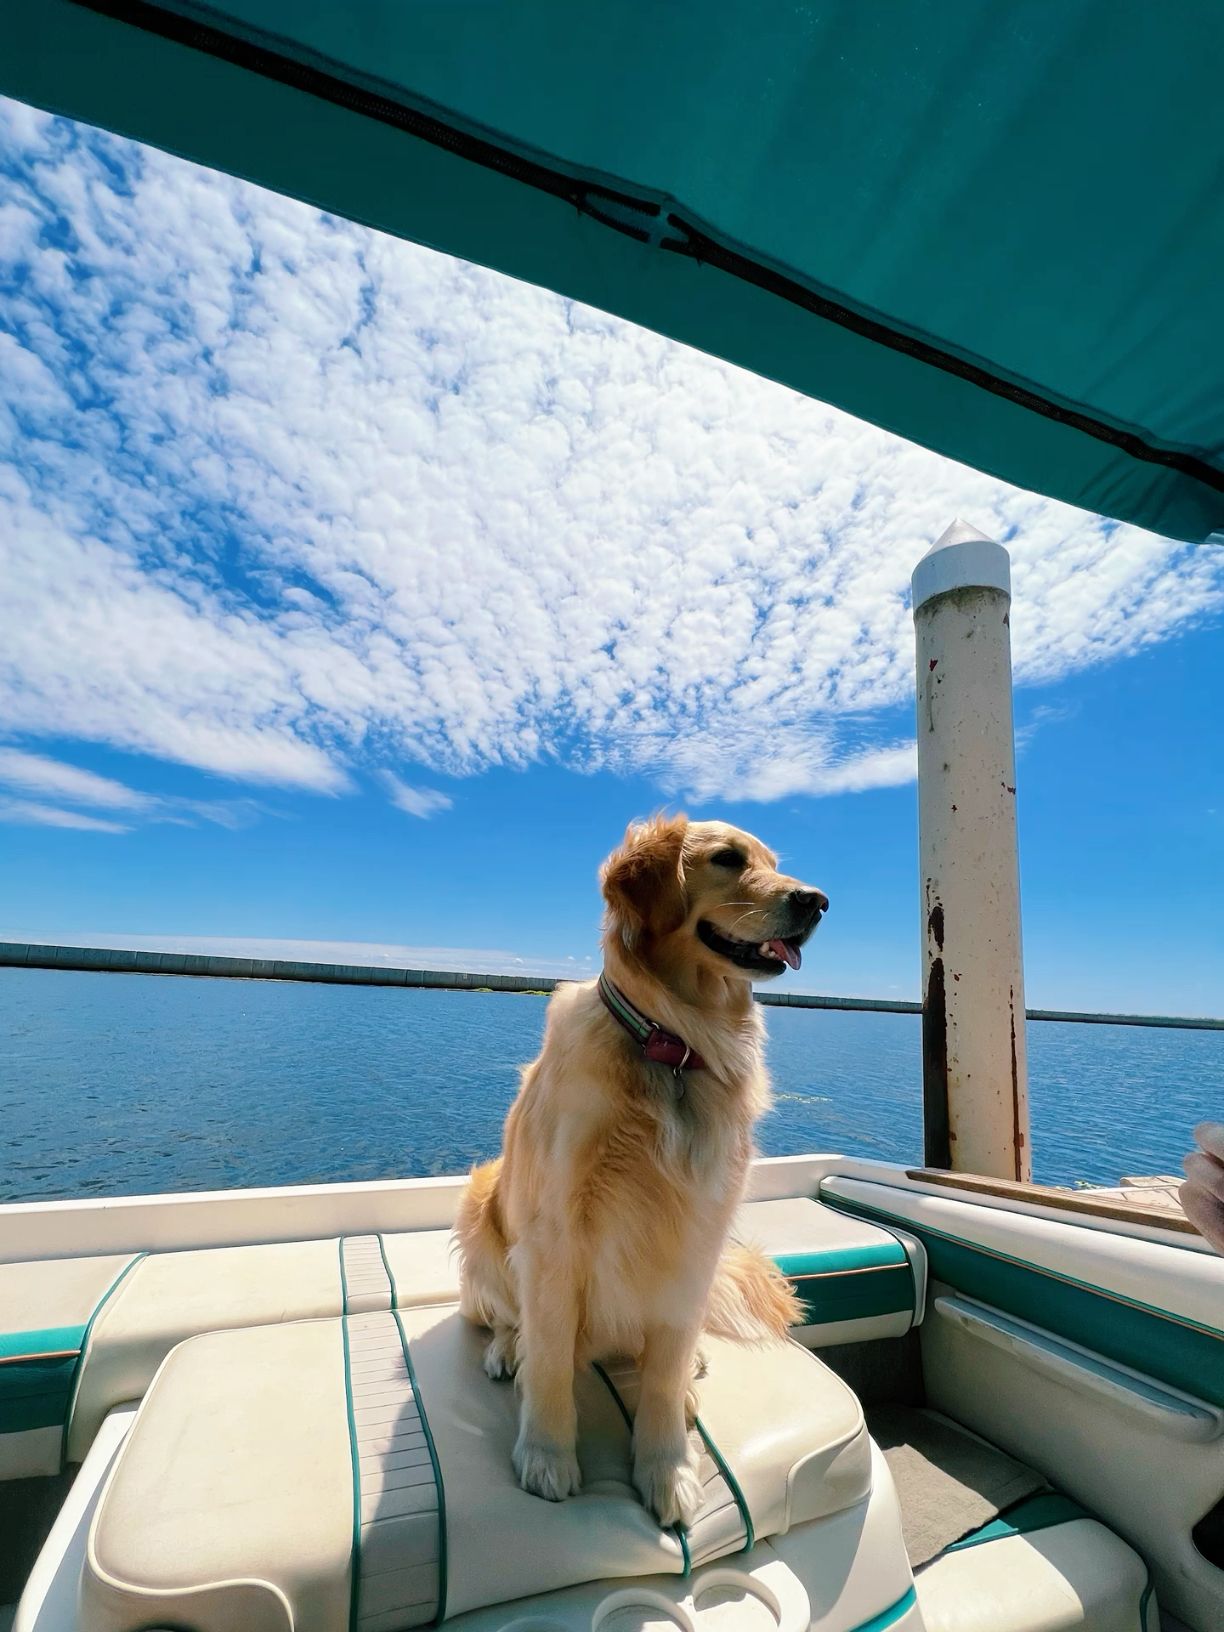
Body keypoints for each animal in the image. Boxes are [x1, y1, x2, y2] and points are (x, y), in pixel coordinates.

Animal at [456, 816, 829, 1527]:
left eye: (773, 863)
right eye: (728, 859)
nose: (818, 902)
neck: (674, 1047)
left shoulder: (697, 1234)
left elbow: (661, 1373)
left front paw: (668, 1467)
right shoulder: (555, 1237)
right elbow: (550, 1362)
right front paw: (546, 1455)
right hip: (482, 1202)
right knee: (504, 1318)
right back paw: (508, 1350)